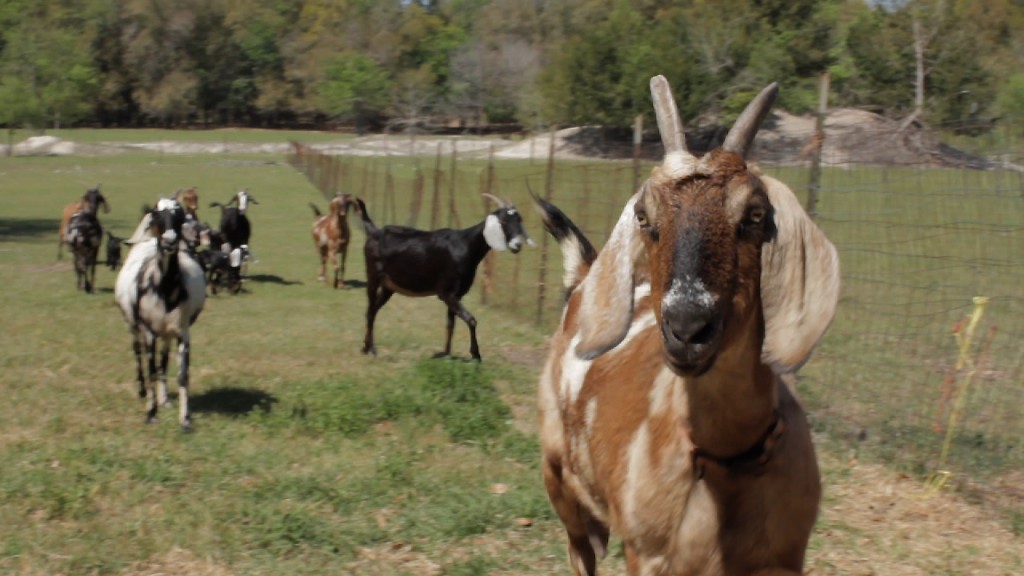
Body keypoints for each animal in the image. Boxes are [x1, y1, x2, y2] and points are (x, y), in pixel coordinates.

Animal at [115, 198, 205, 430]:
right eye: (156, 216)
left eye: (179, 217)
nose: (169, 241)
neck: (164, 289)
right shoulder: (148, 332)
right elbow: (151, 370)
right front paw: (151, 414)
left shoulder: (183, 332)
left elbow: (182, 376)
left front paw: (185, 420)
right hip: (133, 326)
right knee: (138, 353)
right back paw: (142, 391)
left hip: (166, 333)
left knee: (164, 360)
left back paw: (164, 398)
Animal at [356, 192, 532, 358]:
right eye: (503, 221)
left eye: (520, 220)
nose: (517, 245)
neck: (466, 245)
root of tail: (375, 232)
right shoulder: (447, 292)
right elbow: (471, 320)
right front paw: (476, 355)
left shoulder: (456, 295)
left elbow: (451, 324)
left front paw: (445, 354)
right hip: (373, 276)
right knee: (370, 310)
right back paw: (371, 350)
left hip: (388, 286)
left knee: (373, 310)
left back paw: (366, 347)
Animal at [536, 76, 839, 573]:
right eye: (644, 216)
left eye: (755, 215)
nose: (687, 327)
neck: (726, 460)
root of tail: (583, 276)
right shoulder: (647, 554)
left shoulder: (782, 559)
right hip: (559, 480)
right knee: (580, 550)